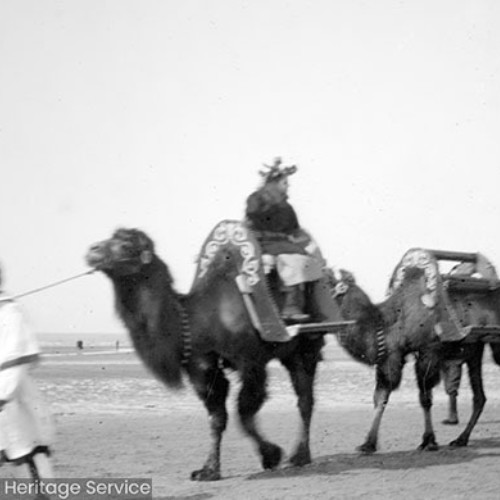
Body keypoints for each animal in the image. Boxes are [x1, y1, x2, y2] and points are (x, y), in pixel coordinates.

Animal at [85, 224, 328, 480]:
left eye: (126, 245)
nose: (92, 250)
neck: (197, 318)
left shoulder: (251, 361)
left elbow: (244, 412)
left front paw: (271, 454)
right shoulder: (201, 368)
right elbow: (217, 418)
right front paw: (208, 470)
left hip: (307, 346)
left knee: (305, 399)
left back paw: (300, 456)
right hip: (291, 353)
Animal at [328, 258, 500, 454]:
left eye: (331, 284)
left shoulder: (429, 350)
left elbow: (425, 398)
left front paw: (429, 441)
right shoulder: (393, 356)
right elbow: (381, 397)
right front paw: (368, 444)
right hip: (476, 348)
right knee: (479, 397)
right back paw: (460, 439)